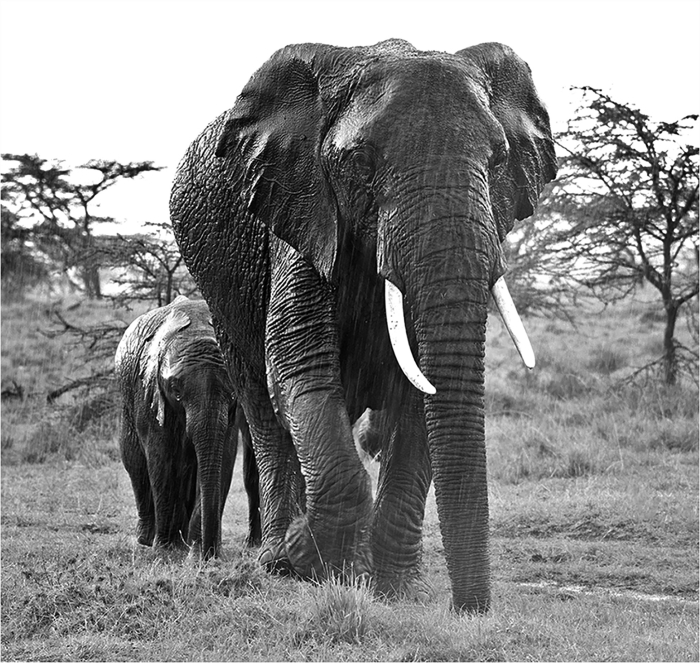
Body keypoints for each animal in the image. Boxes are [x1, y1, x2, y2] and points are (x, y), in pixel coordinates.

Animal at [116, 296, 262, 560]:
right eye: (175, 391)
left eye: (233, 392)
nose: (210, 554)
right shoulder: (148, 391)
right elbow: (161, 456)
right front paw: (165, 550)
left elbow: (223, 457)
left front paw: (196, 551)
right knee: (135, 462)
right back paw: (147, 540)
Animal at [167, 40, 556, 612]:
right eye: (359, 161)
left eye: (500, 160)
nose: (471, 611)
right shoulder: (301, 212)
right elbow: (299, 367)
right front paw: (306, 557)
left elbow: (420, 396)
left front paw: (393, 586)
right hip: (220, 289)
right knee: (262, 404)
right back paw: (280, 559)